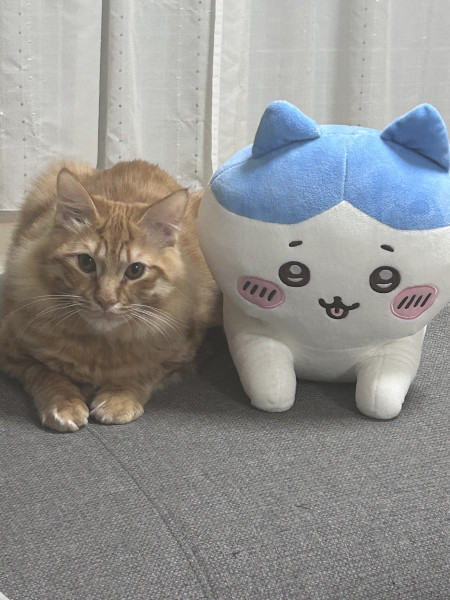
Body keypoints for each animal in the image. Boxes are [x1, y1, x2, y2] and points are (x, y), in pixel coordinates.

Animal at [0, 160, 221, 432]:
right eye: (86, 263)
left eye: (135, 270)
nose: (106, 300)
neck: (101, 346)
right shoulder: (9, 345)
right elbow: (45, 373)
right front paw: (64, 404)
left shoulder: (186, 353)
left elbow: (141, 374)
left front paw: (118, 400)